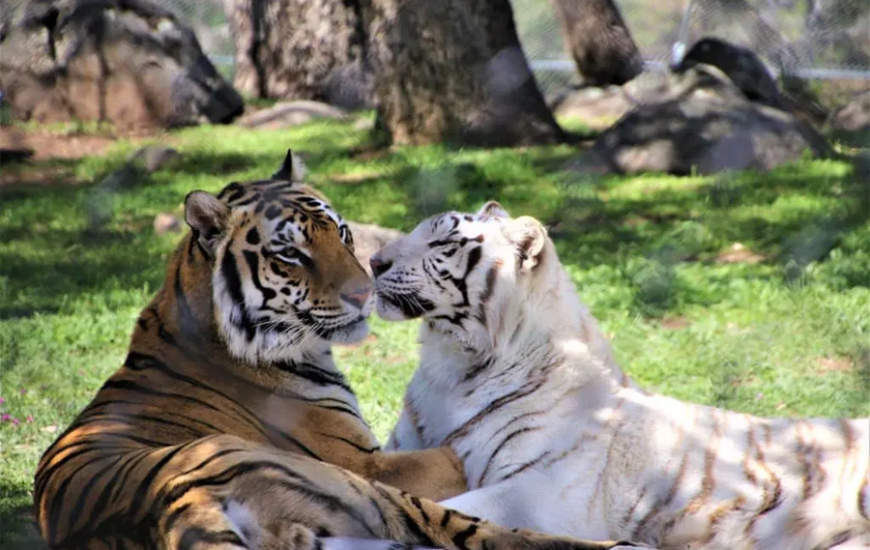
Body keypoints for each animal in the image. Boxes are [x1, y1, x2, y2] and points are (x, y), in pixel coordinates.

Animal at [32, 151, 641, 550]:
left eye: (341, 232)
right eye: (290, 254)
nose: (365, 288)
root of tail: (172, 502)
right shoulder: (365, 460)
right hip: (367, 492)